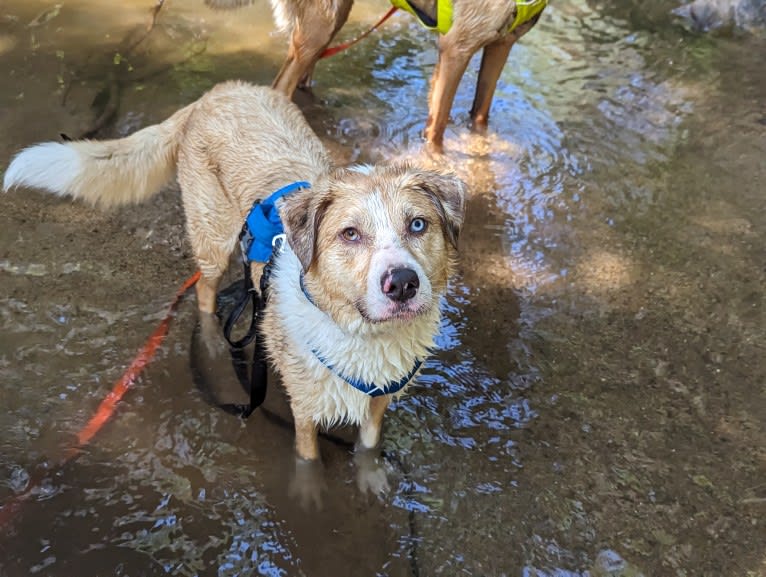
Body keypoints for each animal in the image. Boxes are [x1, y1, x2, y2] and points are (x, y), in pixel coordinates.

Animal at [3, 79, 464, 498]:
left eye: (418, 224)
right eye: (350, 234)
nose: (402, 283)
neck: (364, 336)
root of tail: (216, 93)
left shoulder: (380, 399)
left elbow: (368, 446)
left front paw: (371, 479)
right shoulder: (304, 406)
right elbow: (308, 455)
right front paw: (309, 494)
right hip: (212, 240)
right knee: (205, 293)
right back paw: (209, 339)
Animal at [207, 0, 548, 152]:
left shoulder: (501, 45)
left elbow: (480, 116)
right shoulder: (456, 49)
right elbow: (437, 130)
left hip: (331, 21)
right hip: (322, 24)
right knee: (282, 86)